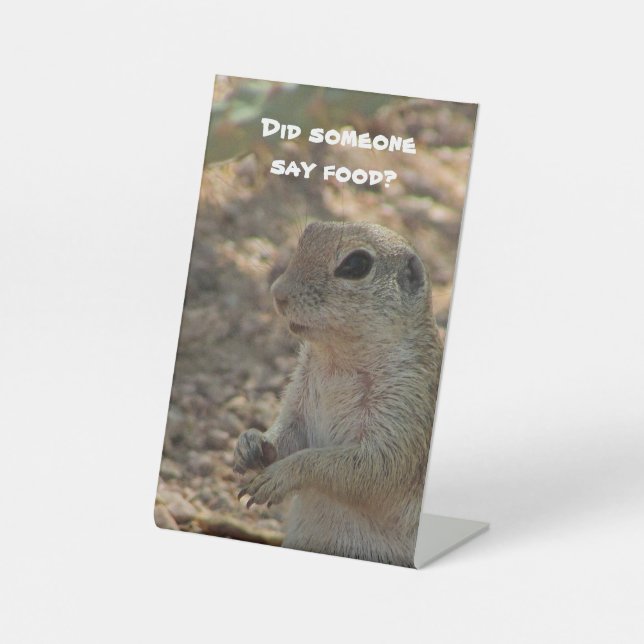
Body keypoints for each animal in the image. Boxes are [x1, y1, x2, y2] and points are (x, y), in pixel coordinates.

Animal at [234, 221, 442, 566]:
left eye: (356, 264)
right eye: (306, 234)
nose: (278, 293)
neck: (337, 361)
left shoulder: (406, 403)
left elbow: (372, 467)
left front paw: (281, 475)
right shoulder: (300, 393)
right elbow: (290, 432)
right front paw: (251, 443)